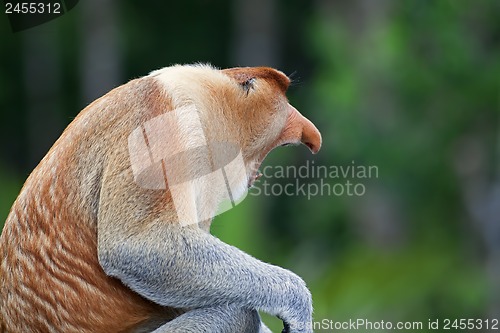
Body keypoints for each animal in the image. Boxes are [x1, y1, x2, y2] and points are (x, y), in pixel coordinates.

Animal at [0, 63, 320, 330]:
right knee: (237, 313)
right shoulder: (161, 126)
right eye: (282, 99)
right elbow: (135, 246)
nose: (312, 135)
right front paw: (297, 304)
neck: (203, 101)